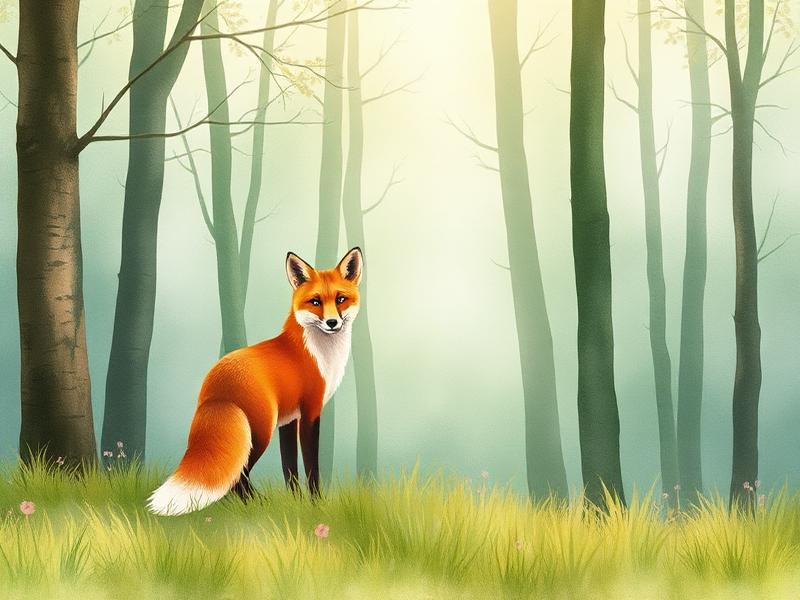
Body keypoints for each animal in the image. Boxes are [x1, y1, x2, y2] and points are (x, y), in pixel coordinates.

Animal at [147, 247, 363, 516]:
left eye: (341, 299)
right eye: (315, 302)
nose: (333, 323)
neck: (318, 354)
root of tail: (212, 391)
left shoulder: (288, 420)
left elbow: (289, 467)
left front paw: (295, 502)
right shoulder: (310, 413)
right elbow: (312, 468)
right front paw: (316, 504)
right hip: (259, 433)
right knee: (238, 476)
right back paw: (258, 504)